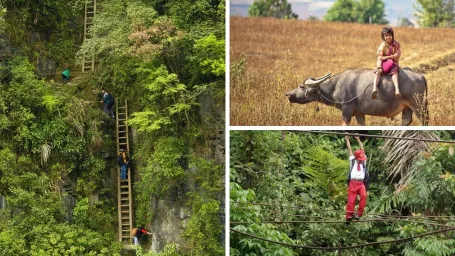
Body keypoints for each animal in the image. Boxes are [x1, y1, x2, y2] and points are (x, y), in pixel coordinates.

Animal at [286, 68, 430, 126]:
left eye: (302, 87)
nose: (287, 94)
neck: (336, 86)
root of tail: (421, 76)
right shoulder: (359, 113)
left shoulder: (347, 109)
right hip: (407, 108)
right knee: (406, 121)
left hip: (418, 106)